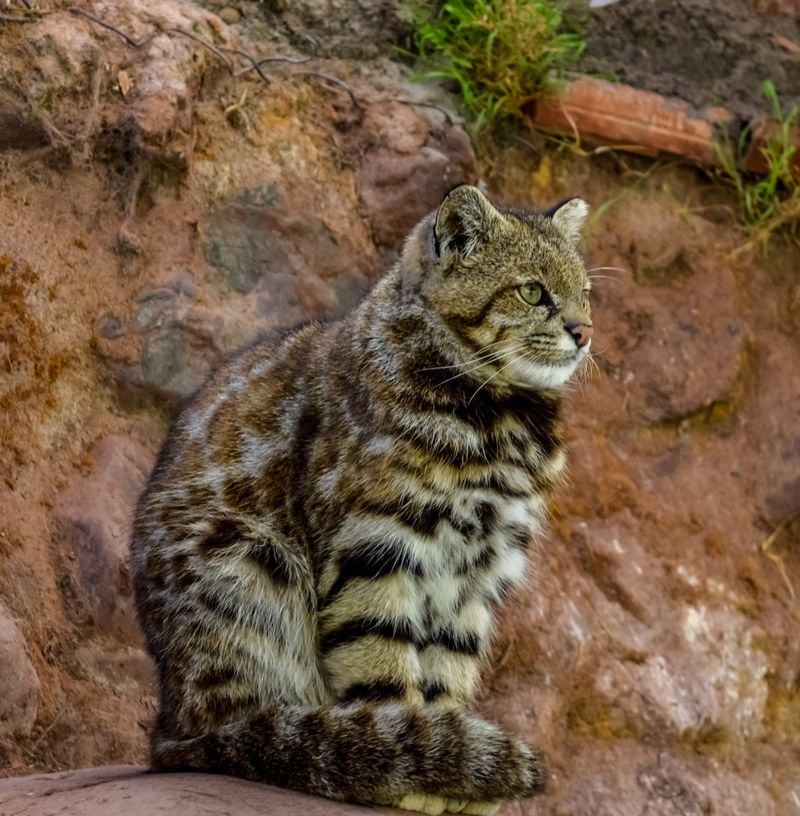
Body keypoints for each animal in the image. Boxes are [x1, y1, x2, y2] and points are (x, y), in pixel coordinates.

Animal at [131, 185, 592, 816]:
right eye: (533, 291)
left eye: (586, 293)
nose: (584, 331)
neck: (499, 426)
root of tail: (166, 722)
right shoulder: (375, 548)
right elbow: (384, 671)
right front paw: (418, 767)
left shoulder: (475, 572)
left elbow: (447, 674)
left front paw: (449, 761)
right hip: (250, 564)